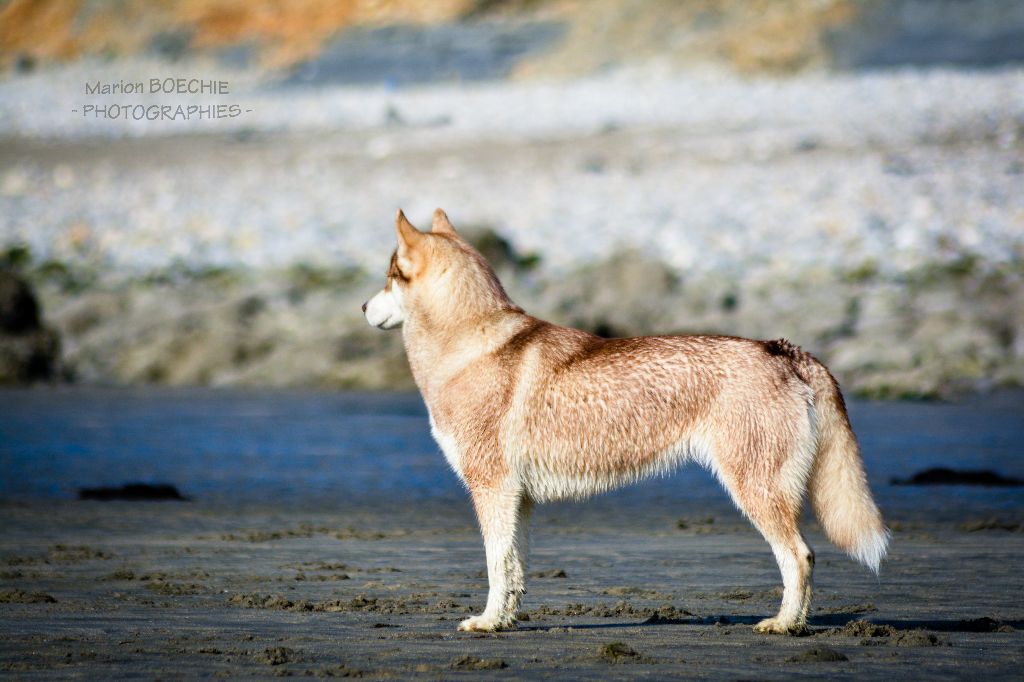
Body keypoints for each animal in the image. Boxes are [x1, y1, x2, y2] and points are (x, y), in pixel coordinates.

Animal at [362, 206, 888, 630]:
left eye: (389, 276)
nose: (364, 306)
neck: (468, 344)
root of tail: (784, 349)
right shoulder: (517, 499)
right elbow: (514, 570)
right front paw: (505, 621)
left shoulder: (491, 488)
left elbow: (495, 566)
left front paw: (487, 622)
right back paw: (793, 623)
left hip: (755, 490)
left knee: (800, 557)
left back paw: (784, 625)